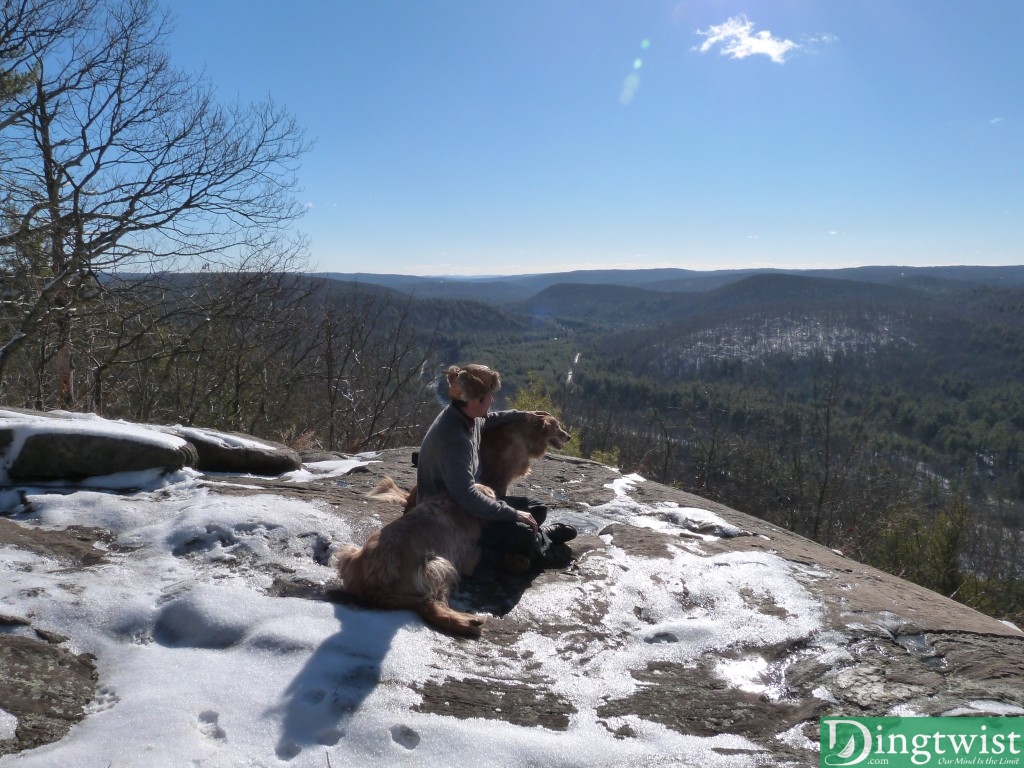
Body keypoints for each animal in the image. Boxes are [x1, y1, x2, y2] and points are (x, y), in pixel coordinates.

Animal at [333, 487, 493, 638]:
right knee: (434, 606)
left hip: (348, 554)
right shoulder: (467, 557)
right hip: (436, 565)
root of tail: (375, 589)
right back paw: (469, 623)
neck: (454, 504)